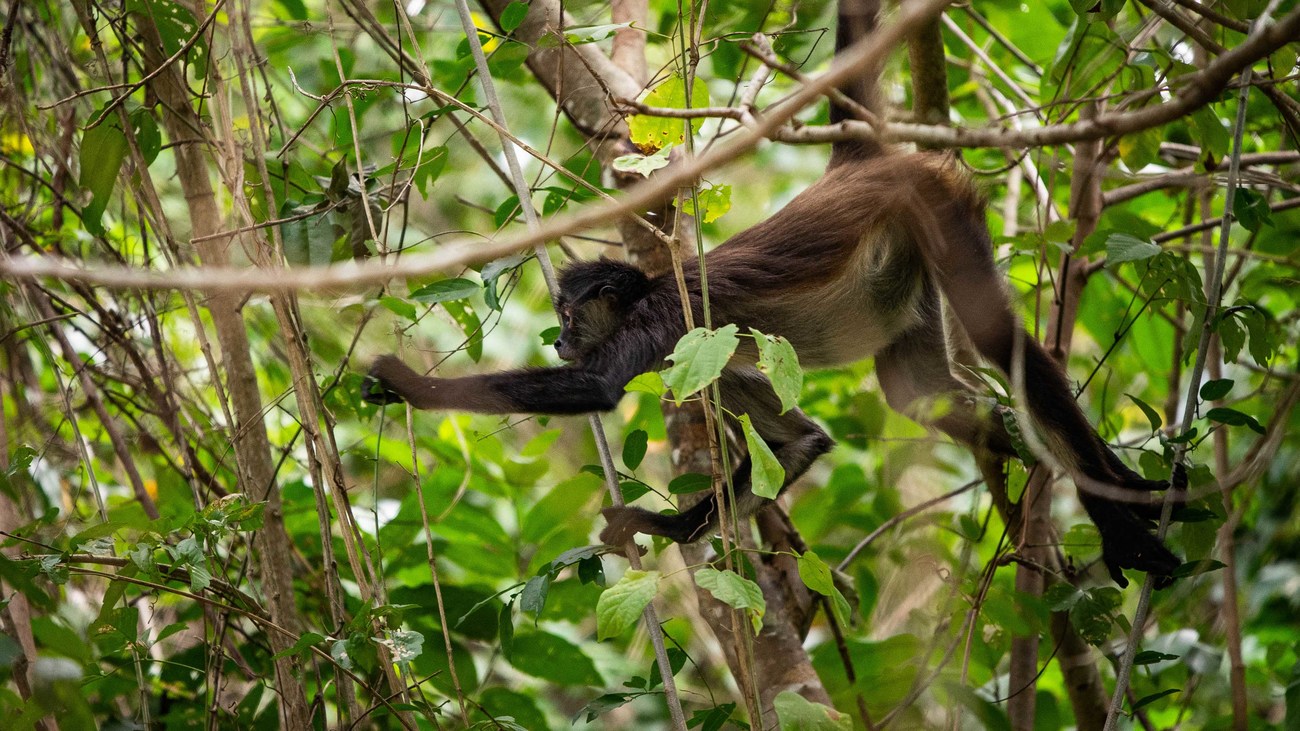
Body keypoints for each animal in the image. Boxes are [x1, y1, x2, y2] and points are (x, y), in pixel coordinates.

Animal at [361, 1, 1185, 585]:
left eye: (567, 314)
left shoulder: (669, 320)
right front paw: (661, 529)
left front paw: (405, 384)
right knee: (914, 391)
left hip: (938, 204)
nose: (559, 338)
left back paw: (1120, 508)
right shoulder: (710, 362)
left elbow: (597, 387)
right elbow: (800, 443)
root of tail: (856, 168)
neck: (651, 288)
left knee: (999, 342)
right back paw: (1078, 475)